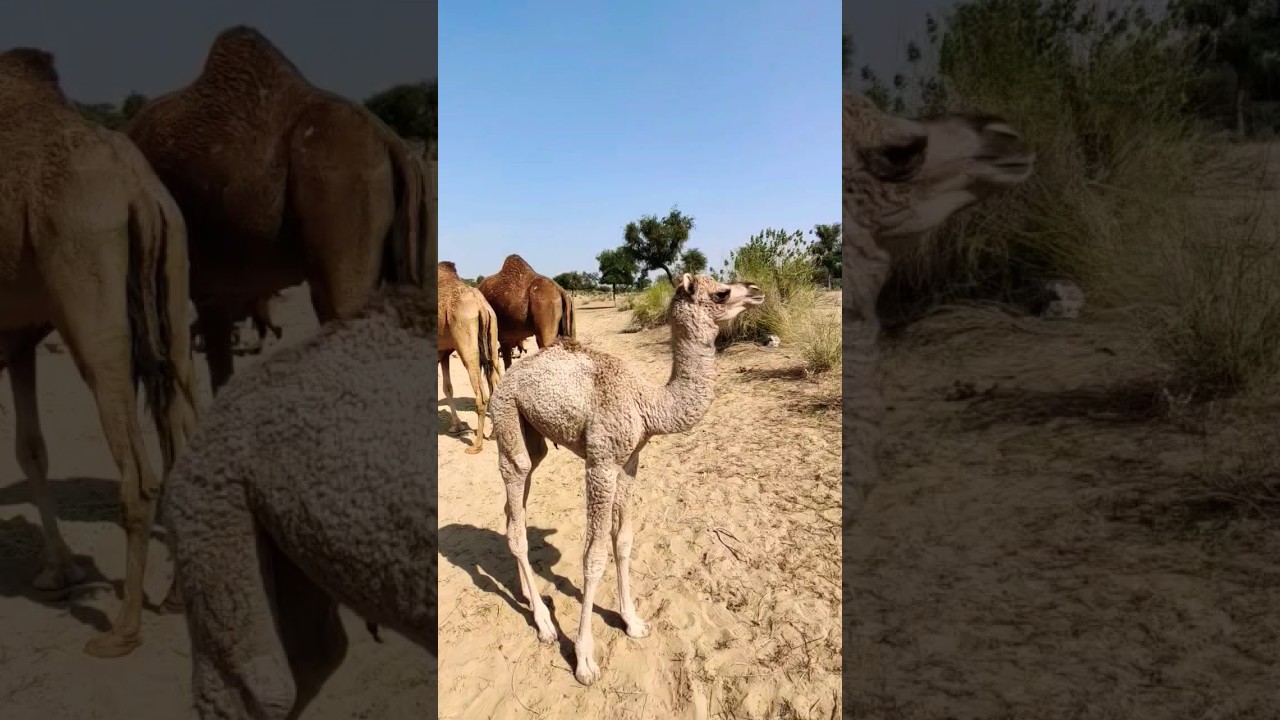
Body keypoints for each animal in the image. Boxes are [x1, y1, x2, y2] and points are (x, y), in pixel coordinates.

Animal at [0, 47, 198, 657]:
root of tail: (138, 190)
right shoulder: (17, 338)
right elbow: (31, 449)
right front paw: (58, 571)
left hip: (87, 281)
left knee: (137, 473)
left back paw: (123, 629)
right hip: (174, 267)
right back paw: (176, 598)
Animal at [438, 261, 503, 453]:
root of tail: (481, 306)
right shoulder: (443, 353)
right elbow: (448, 387)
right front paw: (456, 426)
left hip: (466, 341)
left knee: (481, 395)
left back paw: (476, 445)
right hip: (492, 334)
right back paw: (493, 434)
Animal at [491, 273, 764, 685]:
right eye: (721, 292)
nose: (756, 291)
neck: (647, 404)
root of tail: (505, 379)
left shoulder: (630, 462)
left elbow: (623, 542)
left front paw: (633, 622)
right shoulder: (601, 463)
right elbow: (593, 556)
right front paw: (585, 660)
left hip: (531, 435)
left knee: (515, 508)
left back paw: (527, 593)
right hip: (507, 416)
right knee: (517, 505)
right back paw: (544, 624)